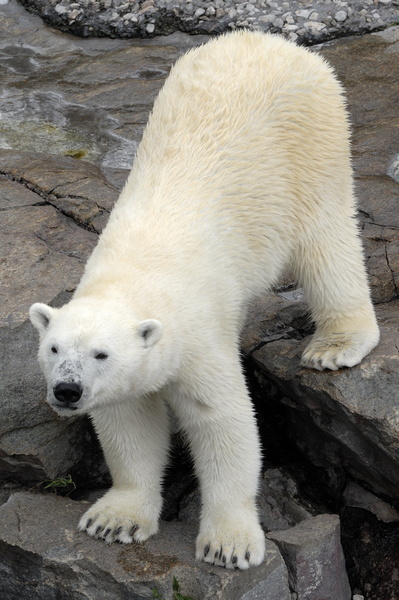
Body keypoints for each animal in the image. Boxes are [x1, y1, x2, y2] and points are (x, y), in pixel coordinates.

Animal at [30, 31, 378, 568]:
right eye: (53, 349)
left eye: (101, 354)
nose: (67, 390)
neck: (135, 275)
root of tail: (269, 40)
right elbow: (130, 424)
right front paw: (114, 520)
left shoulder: (197, 337)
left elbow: (223, 421)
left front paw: (229, 544)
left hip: (310, 142)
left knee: (326, 243)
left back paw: (336, 345)